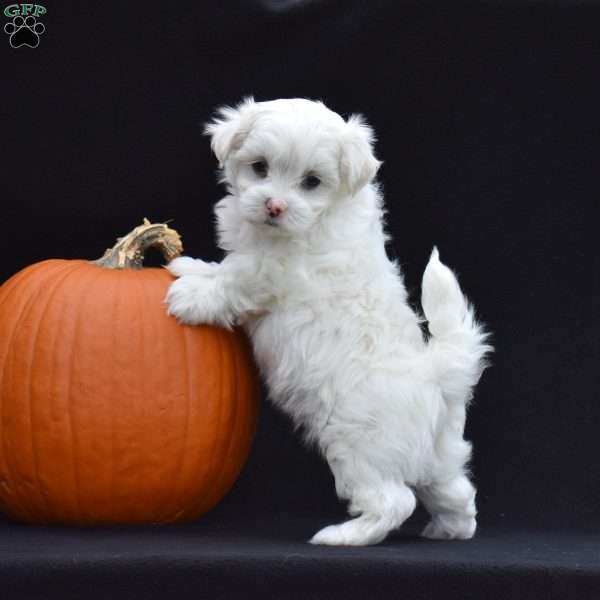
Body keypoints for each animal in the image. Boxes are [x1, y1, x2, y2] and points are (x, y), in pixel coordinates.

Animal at [165, 99, 492, 548]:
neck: (316, 220)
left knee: (395, 501)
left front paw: (192, 295)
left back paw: (344, 536)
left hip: (358, 444)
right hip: (439, 452)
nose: (274, 206)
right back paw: (448, 529)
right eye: (260, 168)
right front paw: (195, 267)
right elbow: (227, 266)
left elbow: (235, 277)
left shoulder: (273, 270)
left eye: (312, 182)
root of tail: (438, 375)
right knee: (456, 490)